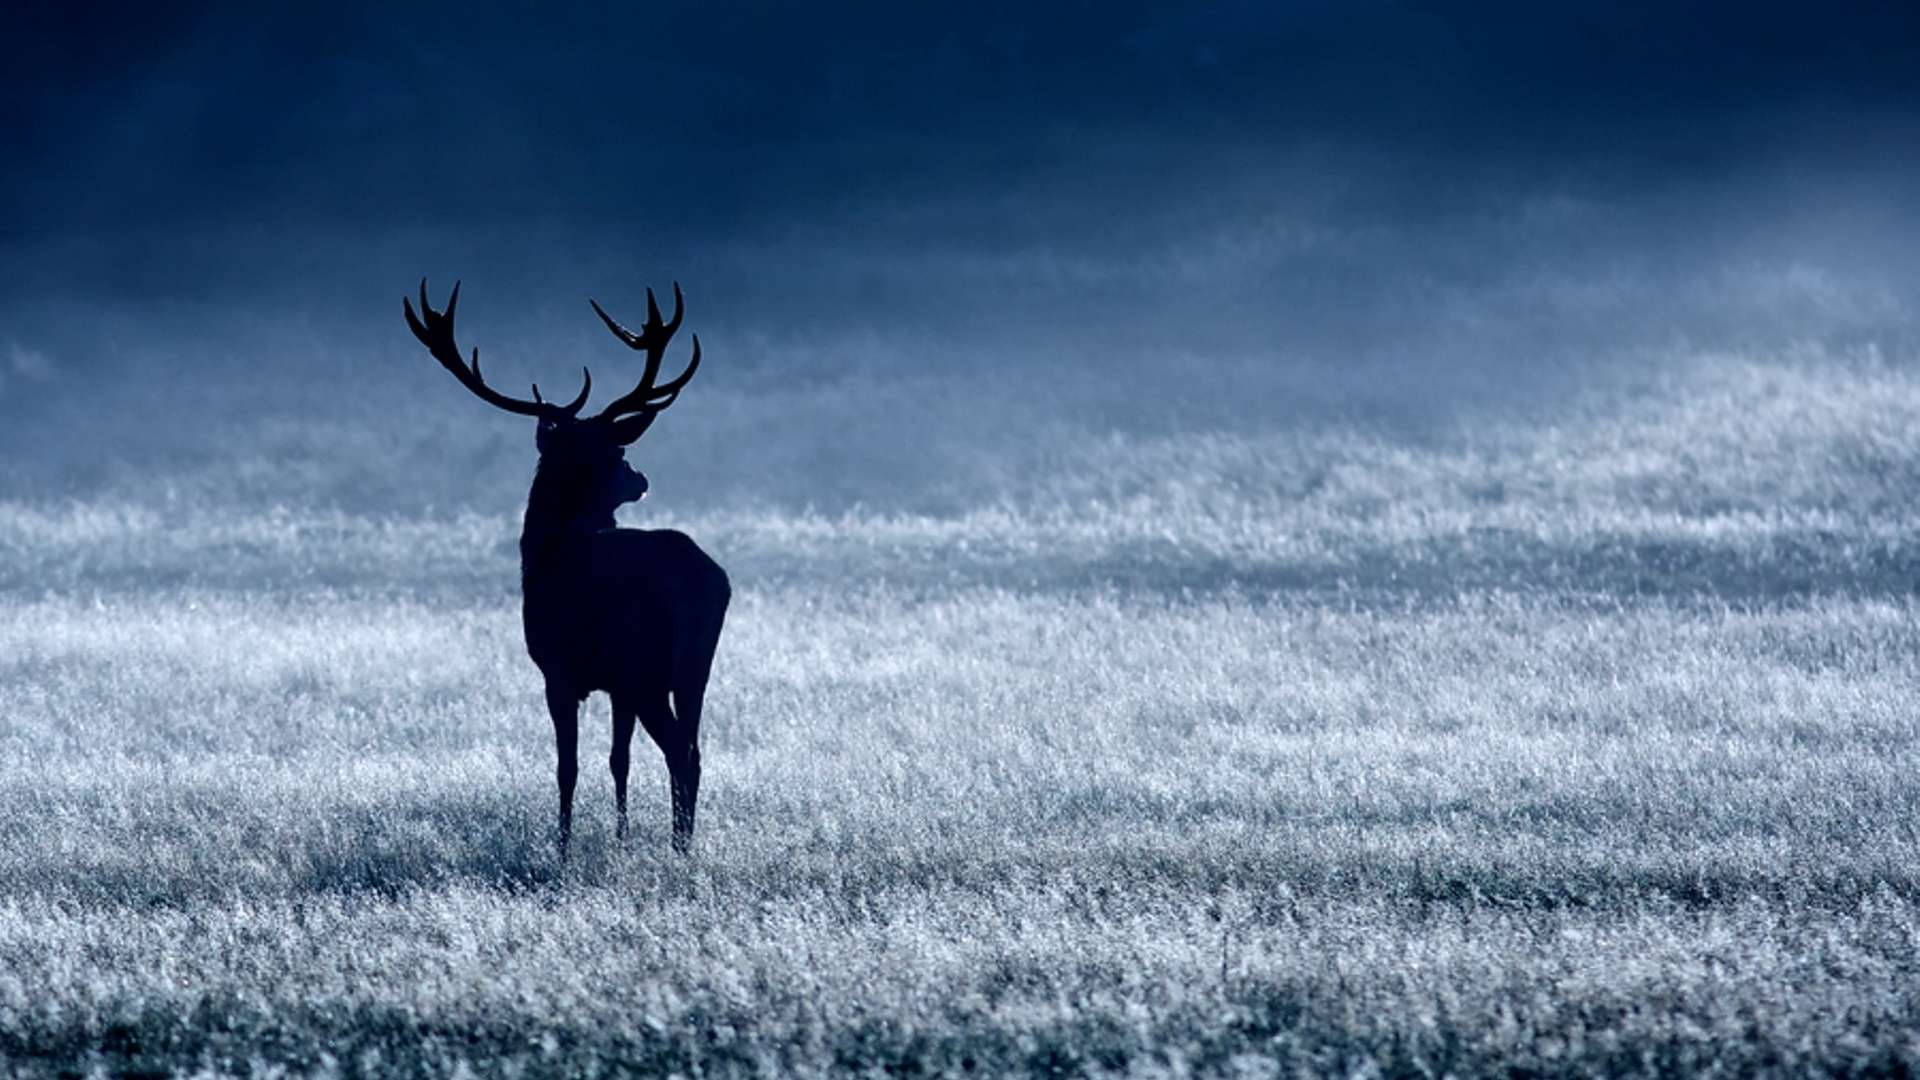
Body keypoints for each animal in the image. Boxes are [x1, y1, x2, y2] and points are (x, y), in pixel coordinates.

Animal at [403, 279, 730, 857]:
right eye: (616, 453)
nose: (640, 478)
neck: (547, 551)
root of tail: (708, 581)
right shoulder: (615, 685)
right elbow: (618, 760)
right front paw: (620, 835)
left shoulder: (558, 670)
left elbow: (567, 767)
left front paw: (561, 844)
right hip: (694, 666)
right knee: (693, 749)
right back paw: (683, 840)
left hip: (646, 666)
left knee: (679, 751)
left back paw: (679, 846)